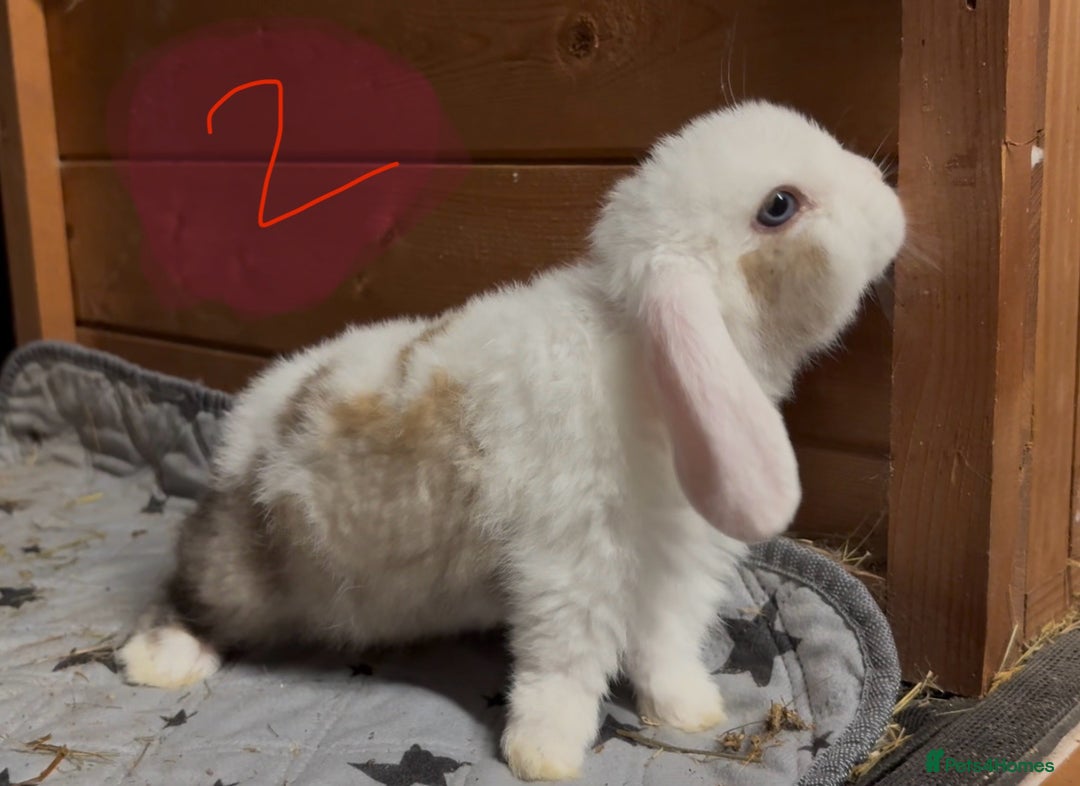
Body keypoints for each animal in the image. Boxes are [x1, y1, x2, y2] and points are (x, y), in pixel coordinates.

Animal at [117, 100, 905, 781]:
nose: (890, 200)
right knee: (188, 593)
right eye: (780, 206)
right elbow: (563, 666)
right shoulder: (568, 569)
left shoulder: (674, 568)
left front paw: (690, 712)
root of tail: (239, 440)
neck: (644, 360)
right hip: (245, 571)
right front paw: (544, 756)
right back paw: (161, 660)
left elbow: (666, 647)